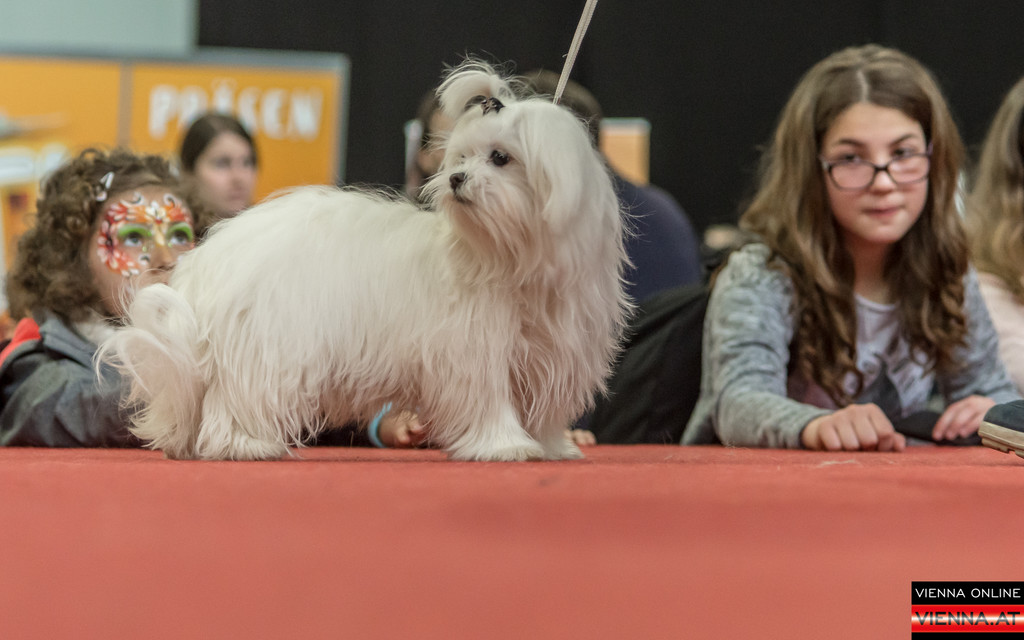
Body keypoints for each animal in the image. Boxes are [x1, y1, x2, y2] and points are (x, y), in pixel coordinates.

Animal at [100, 61, 630, 461]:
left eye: (500, 157)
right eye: (461, 157)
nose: (456, 179)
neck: (513, 257)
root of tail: (210, 256)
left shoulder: (558, 353)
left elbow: (545, 410)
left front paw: (552, 446)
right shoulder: (474, 351)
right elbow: (488, 402)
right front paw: (504, 446)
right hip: (267, 346)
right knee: (240, 399)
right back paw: (245, 444)